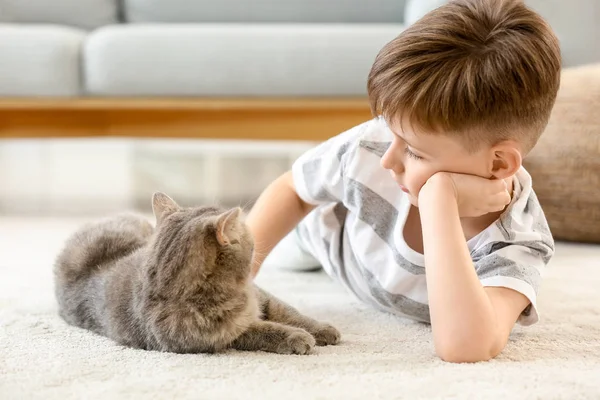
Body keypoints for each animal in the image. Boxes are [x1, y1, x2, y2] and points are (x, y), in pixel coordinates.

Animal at [54, 193, 340, 354]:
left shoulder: (263, 297)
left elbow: (290, 313)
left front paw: (322, 329)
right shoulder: (225, 335)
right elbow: (263, 331)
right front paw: (297, 337)